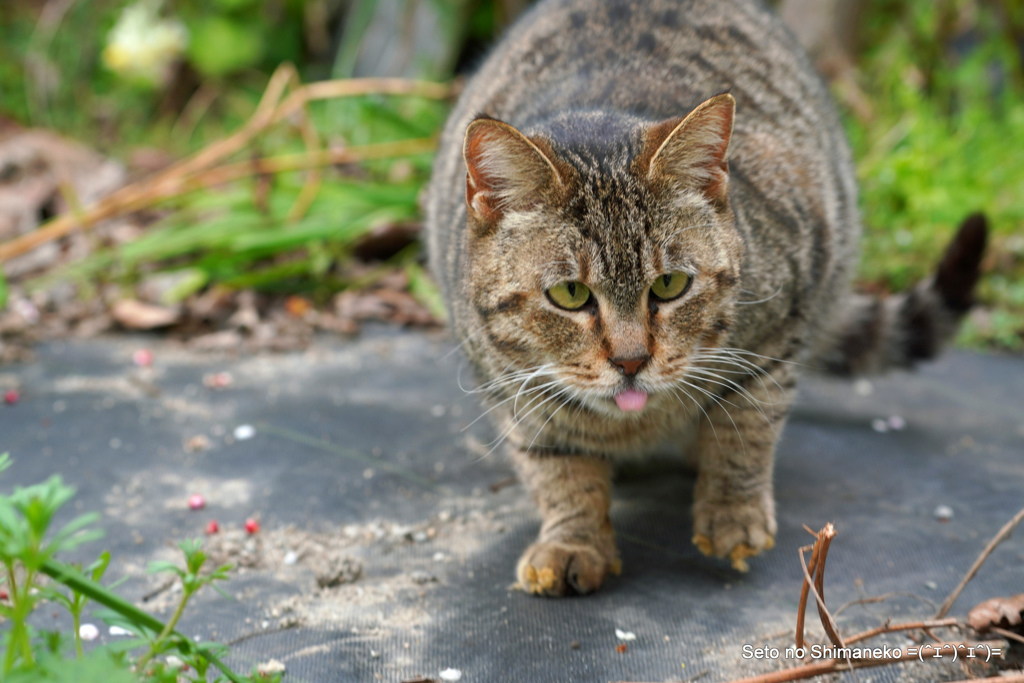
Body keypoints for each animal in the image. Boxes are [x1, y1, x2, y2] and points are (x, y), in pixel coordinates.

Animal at [421, 0, 983, 593]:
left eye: (670, 285)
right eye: (570, 294)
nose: (631, 361)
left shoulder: (782, 327)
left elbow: (747, 424)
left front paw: (731, 511)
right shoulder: (509, 386)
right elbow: (558, 469)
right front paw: (574, 539)